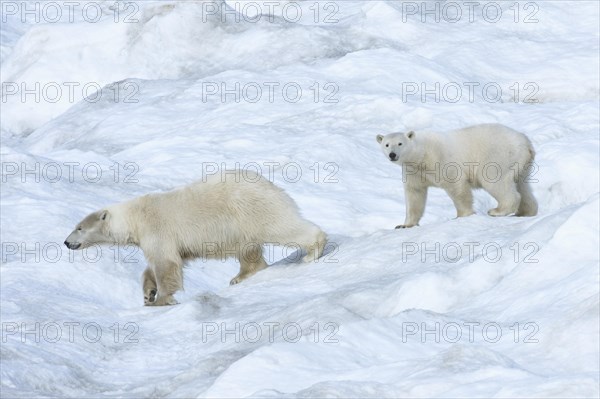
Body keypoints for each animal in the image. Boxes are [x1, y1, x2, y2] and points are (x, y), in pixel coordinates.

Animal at [64, 171, 328, 306]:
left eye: (79, 227)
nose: (66, 242)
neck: (134, 217)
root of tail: (271, 185)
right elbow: (165, 262)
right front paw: (148, 293)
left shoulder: (156, 227)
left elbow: (166, 263)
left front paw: (161, 299)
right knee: (248, 250)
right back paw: (239, 276)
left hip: (252, 209)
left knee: (280, 227)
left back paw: (313, 250)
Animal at [376, 122, 540, 228]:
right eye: (386, 144)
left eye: (400, 143)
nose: (392, 155)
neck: (422, 154)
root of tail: (526, 142)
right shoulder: (413, 171)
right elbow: (414, 194)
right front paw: (404, 225)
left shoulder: (442, 160)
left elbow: (457, 188)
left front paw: (462, 215)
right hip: (521, 163)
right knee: (523, 185)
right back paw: (525, 212)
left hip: (498, 156)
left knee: (496, 182)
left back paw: (497, 211)